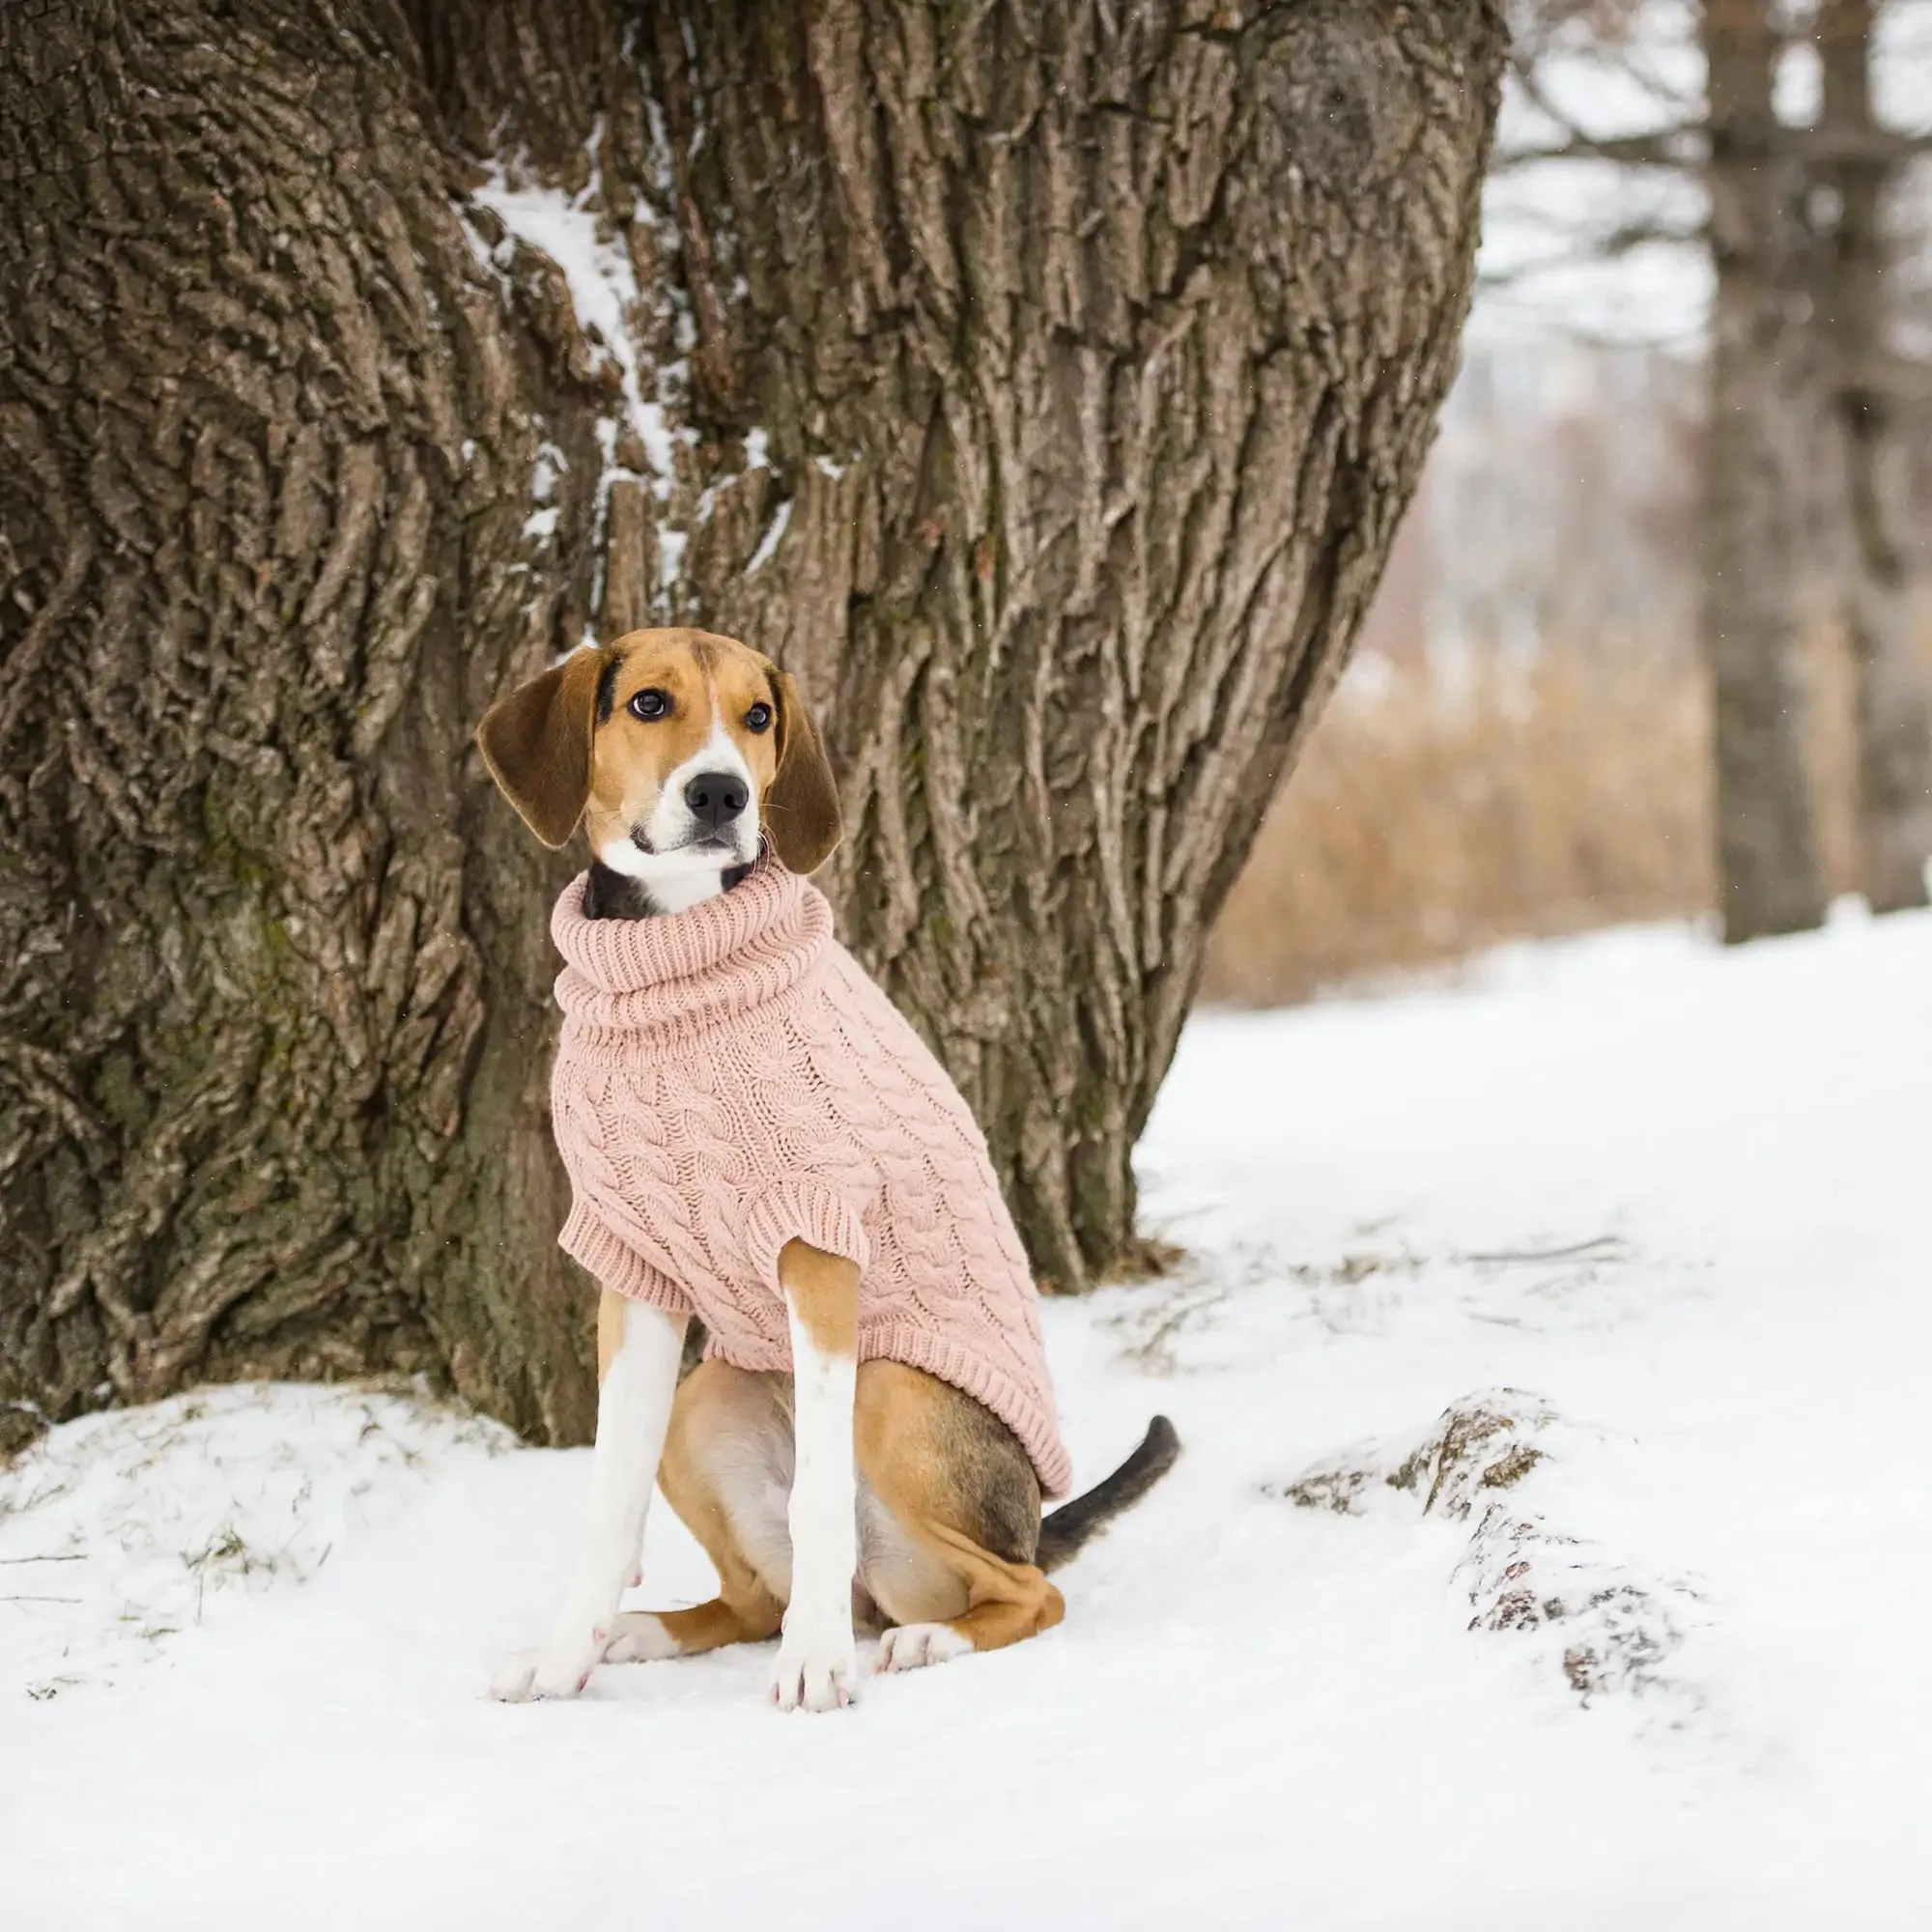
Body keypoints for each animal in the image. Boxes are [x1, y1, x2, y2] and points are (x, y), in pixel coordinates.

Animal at [479, 630, 1175, 1708]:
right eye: (647, 703)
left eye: (759, 715)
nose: (722, 793)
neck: (678, 960)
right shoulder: (632, 1266)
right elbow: (608, 1504)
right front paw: (562, 1663)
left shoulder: (817, 1244)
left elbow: (816, 1497)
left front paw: (815, 1667)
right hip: (702, 1403)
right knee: (752, 1599)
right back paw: (650, 1631)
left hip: (894, 1389)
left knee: (1026, 1590)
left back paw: (923, 1639)